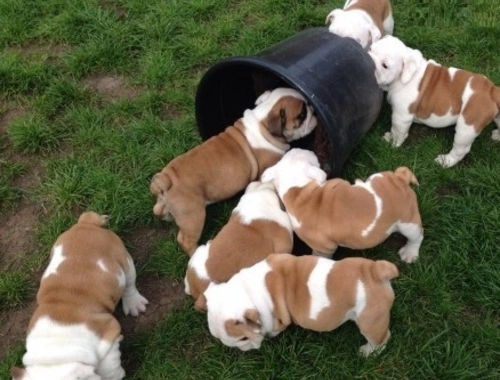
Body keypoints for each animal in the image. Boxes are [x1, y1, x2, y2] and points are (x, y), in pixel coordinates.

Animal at [11, 211, 148, 380]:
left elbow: (108, 367)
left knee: (129, 283)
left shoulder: (108, 337)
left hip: (124, 260)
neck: (56, 351)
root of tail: (86, 224)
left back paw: (134, 303)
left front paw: (115, 375)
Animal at [150, 87, 318, 255]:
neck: (262, 122)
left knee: (157, 209)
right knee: (186, 240)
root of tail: (166, 178)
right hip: (193, 216)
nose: (313, 110)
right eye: (302, 114)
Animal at [198, 252, 398, 356]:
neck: (247, 291)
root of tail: (376, 271)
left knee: (382, 339)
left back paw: (367, 352)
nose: (241, 349)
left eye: (243, 339)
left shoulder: (274, 322)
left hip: (370, 322)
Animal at [262, 148, 422, 264]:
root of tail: (400, 180)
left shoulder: (322, 248)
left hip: (407, 223)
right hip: (377, 177)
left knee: (417, 237)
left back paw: (410, 253)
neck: (298, 190)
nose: (299, 147)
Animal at [368, 35, 500, 166]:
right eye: (370, 49)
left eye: (385, 65)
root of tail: (492, 91)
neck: (405, 76)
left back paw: (445, 161)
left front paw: (392, 143)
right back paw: (497, 136)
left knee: (461, 150)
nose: (369, 60)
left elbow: (397, 131)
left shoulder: (401, 116)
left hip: (466, 127)